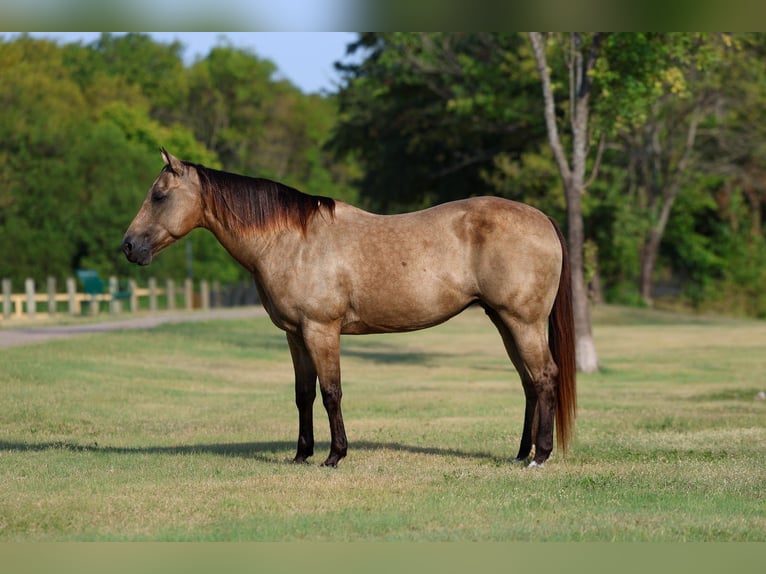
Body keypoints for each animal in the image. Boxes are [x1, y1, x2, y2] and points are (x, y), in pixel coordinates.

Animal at [122, 149, 576, 468]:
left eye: (159, 195)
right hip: (504, 321)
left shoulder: (321, 330)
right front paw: (301, 454)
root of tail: (543, 219)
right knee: (528, 382)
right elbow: (303, 394)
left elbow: (331, 392)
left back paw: (540, 456)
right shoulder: (295, 335)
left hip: (523, 321)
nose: (128, 246)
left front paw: (334, 455)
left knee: (544, 377)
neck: (291, 241)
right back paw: (521, 453)